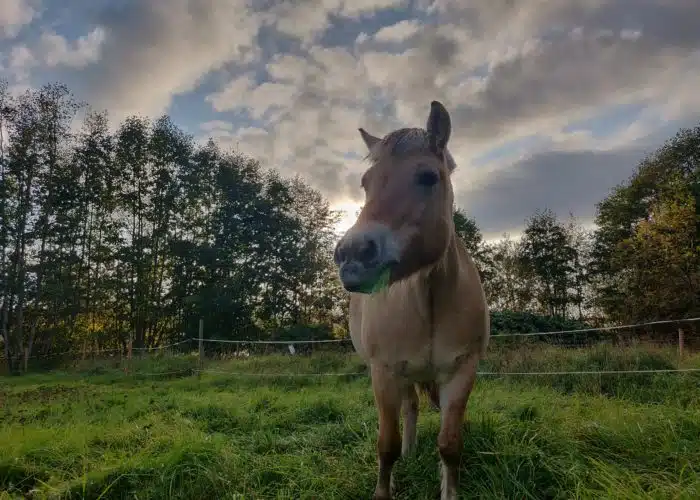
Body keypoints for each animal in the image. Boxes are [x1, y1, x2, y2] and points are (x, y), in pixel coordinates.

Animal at [332, 99, 486, 498]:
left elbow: (450, 445)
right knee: (410, 408)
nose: (352, 256)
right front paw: (384, 489)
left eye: (428, 177)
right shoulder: (384, 373)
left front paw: (449, 489)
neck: (428, 302)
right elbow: (385, 445)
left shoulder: (461, 371)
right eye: (365, 183)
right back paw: (410, 449)